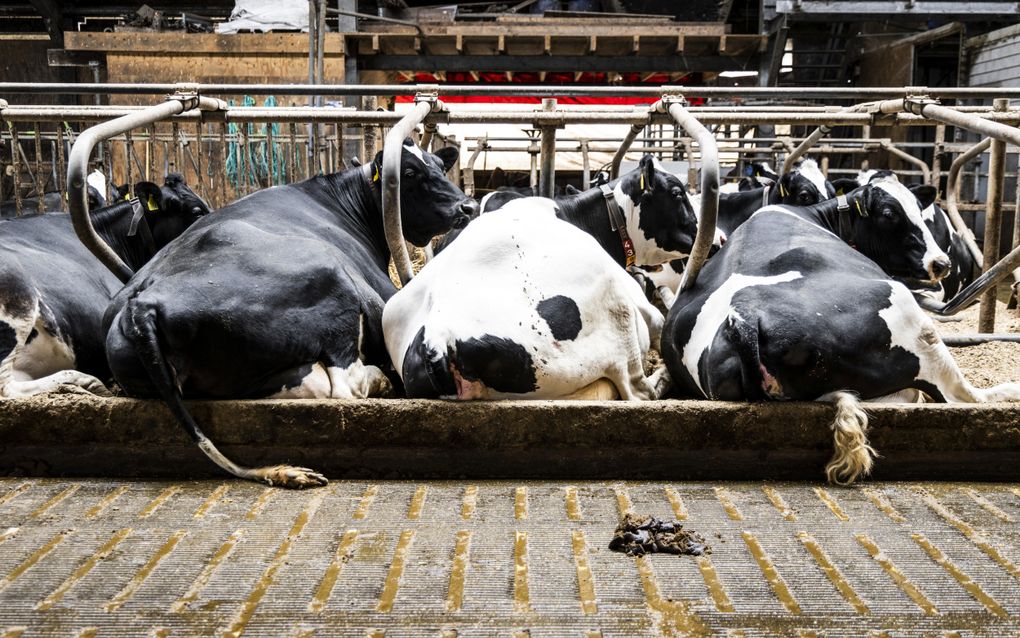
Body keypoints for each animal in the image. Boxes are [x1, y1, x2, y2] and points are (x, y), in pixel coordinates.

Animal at [101, 140, 475, 487]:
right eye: (410, 173)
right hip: (331, 276)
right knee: (348, 383)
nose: (468, 206)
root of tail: (142, 305)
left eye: (440, 164)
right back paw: (381, 380)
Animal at [383, 155, 701, 400]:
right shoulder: (638, 301)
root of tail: (437, 336)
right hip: (617, 315)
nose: (709, 235)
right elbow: (658, 320)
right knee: (641, 389)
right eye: (677, 192)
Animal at [660, 172, 1020, 481]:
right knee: (963, 395)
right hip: (911, 318)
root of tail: (743, 320)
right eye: (889, 213)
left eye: (919, 209)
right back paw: (1008, 390)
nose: (941, 263)